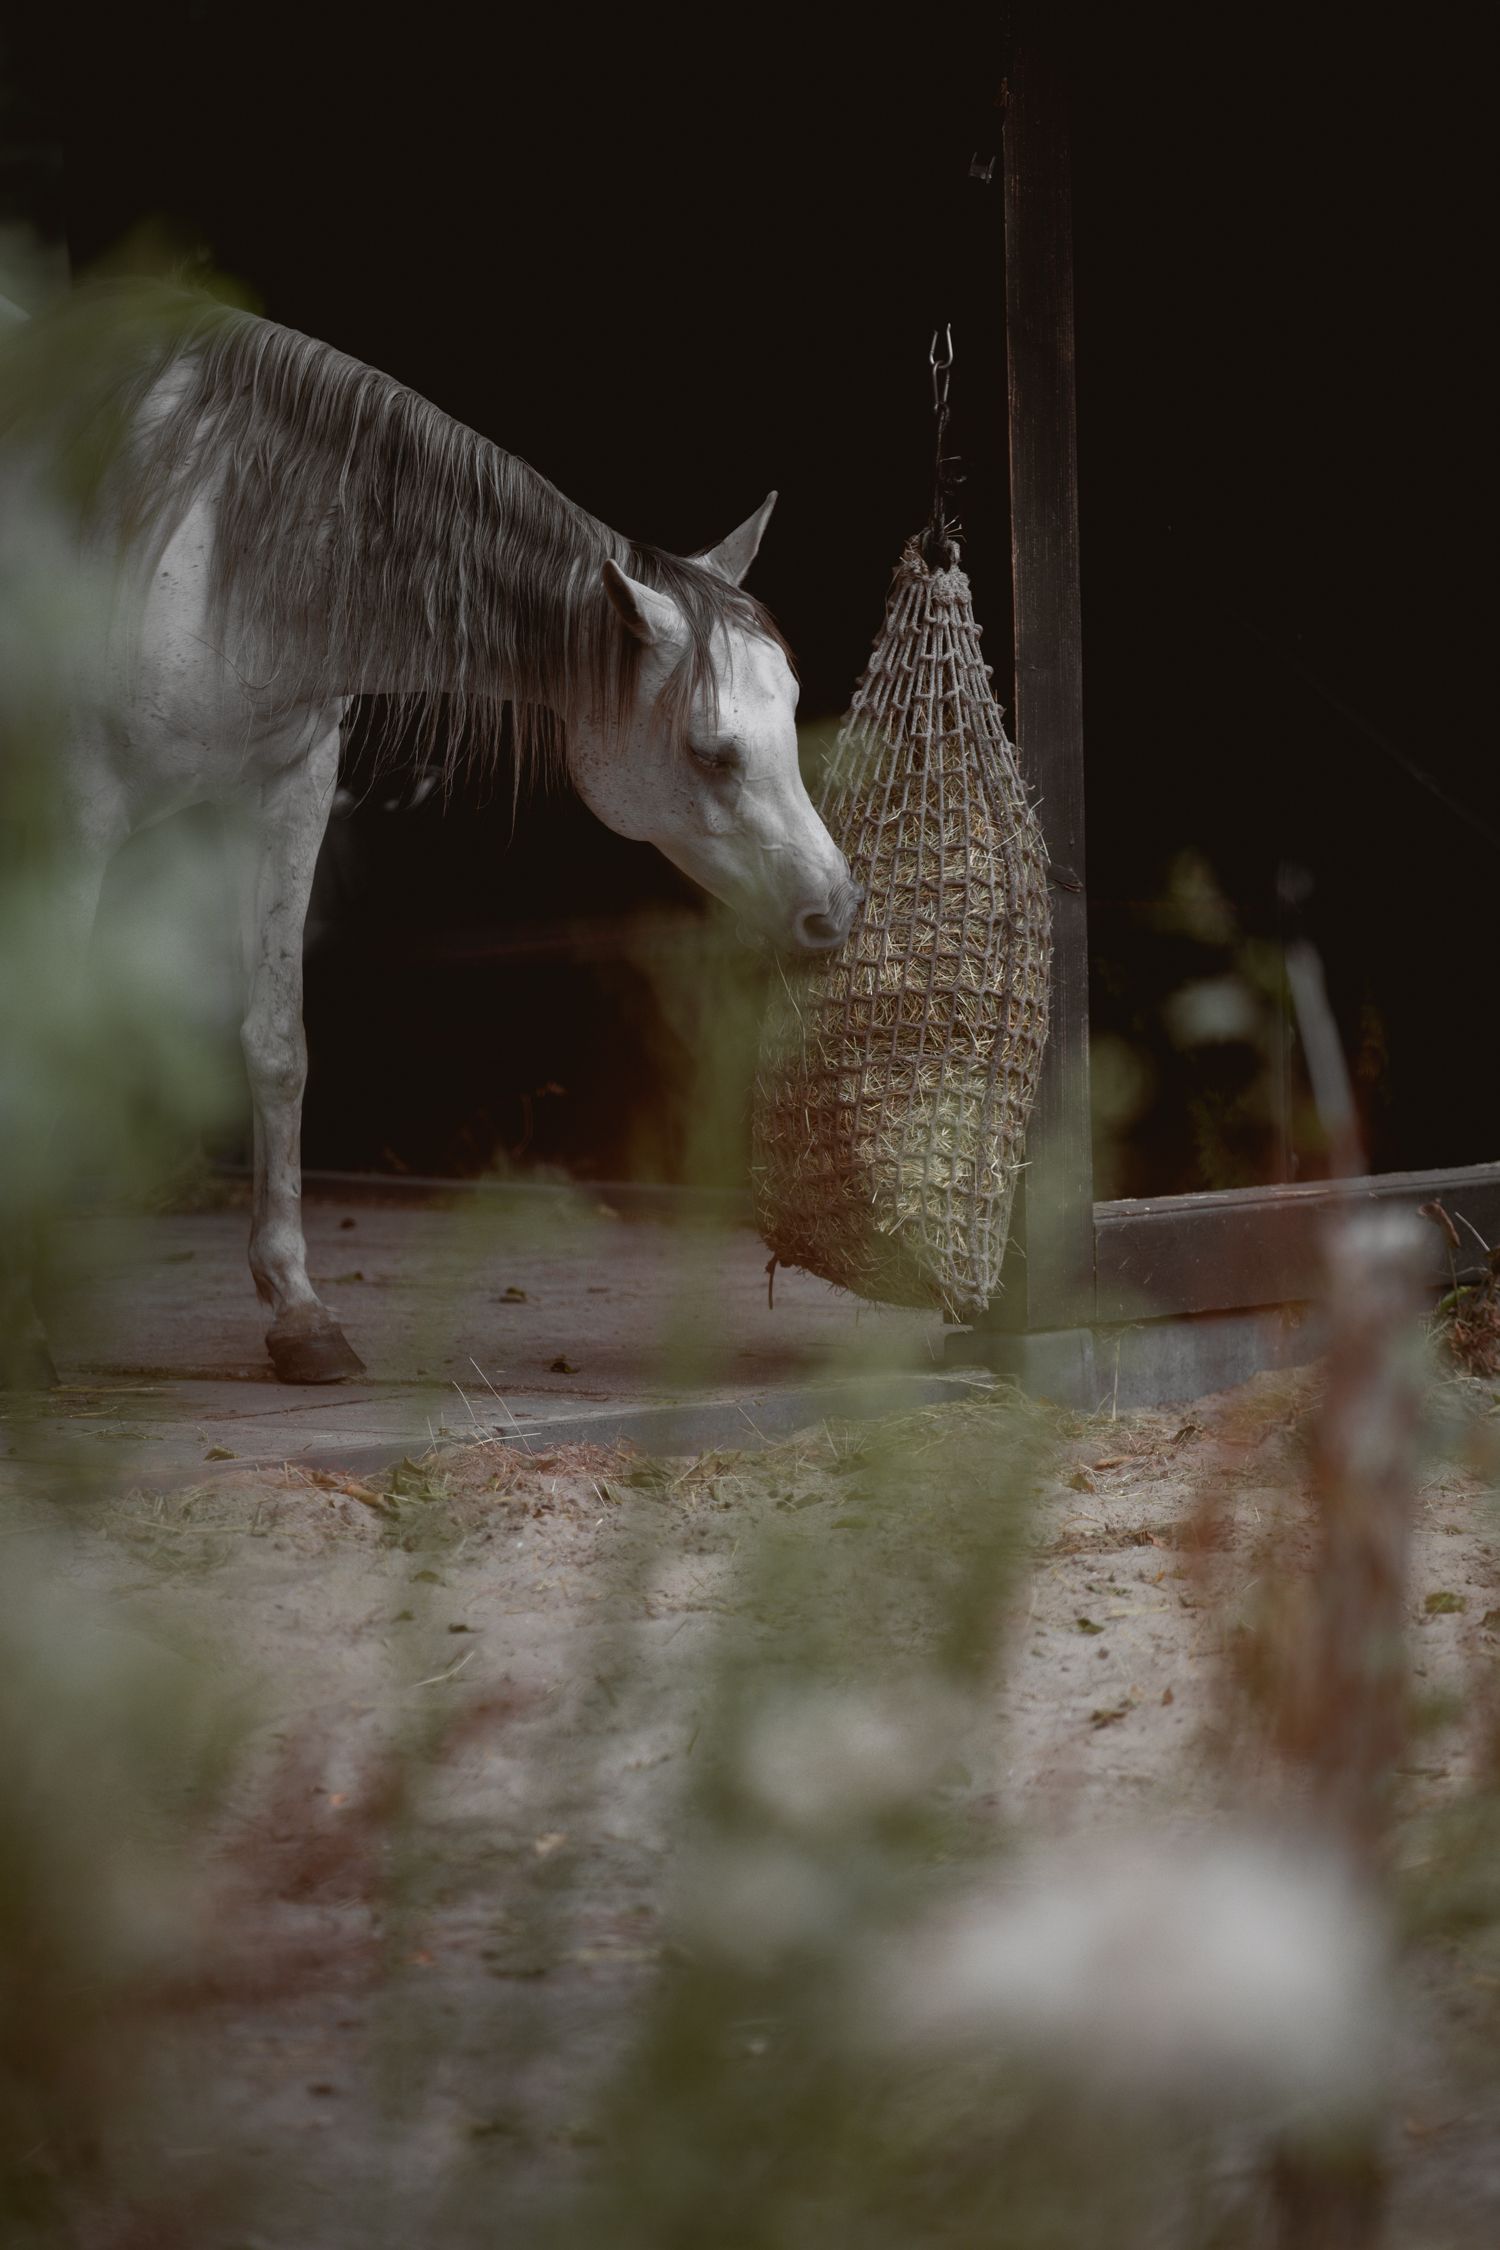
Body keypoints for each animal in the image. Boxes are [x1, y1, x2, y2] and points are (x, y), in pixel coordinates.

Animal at [0, 284, 858, 1384]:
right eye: (712, 752)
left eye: (791, 709)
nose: (836, 907)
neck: (200, 546)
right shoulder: (73, 816)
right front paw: (27, 1328)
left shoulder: (284, 793)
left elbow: (278, 1045)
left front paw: (302, 1316)